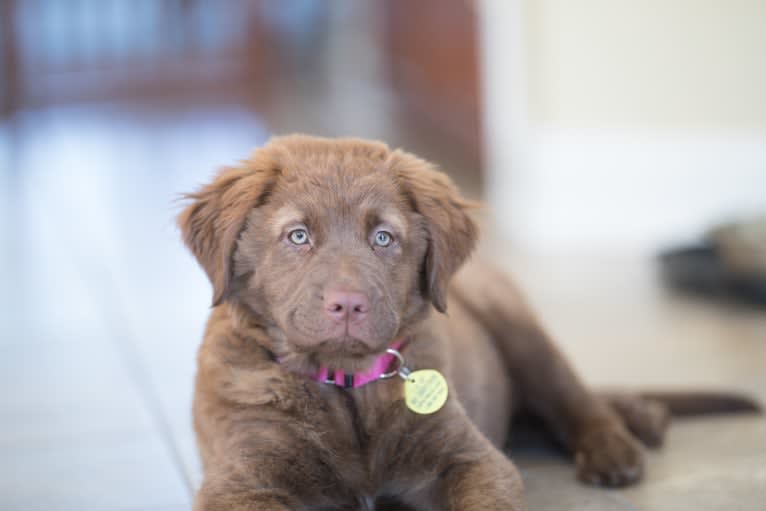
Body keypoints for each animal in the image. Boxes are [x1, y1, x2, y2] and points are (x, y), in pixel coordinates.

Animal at [180, 134, 760, 510]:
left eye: (383, 238)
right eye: (298, 236)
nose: (347, 305)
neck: (346, 389)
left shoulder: (469, 457)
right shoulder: (241, 481)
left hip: (516, 324)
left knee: (572, 396)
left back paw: (621, 440)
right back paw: (644, 414)